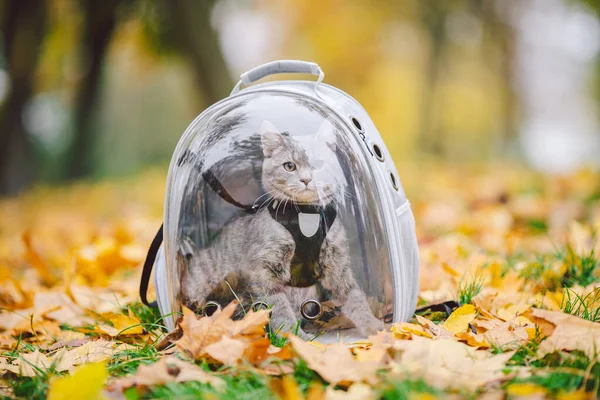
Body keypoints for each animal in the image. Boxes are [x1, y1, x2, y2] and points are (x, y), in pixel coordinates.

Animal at [179, 119, 384, 338]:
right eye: (289, 166)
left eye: (318, 164)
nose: (306, 179)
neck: (305, 219)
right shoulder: (263, 271)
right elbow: (280, 309)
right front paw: (295, 337)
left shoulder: (336, 264)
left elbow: (354, 297)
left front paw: (374, 326)